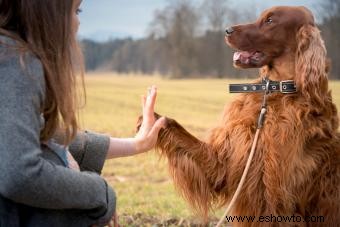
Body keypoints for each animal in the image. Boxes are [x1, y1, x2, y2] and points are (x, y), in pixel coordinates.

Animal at [141, 6, 340, 226]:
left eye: (270, 20)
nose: (227, 30)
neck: (274, 93)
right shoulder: (225, 163)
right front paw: (151, 120)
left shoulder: (276, 197)